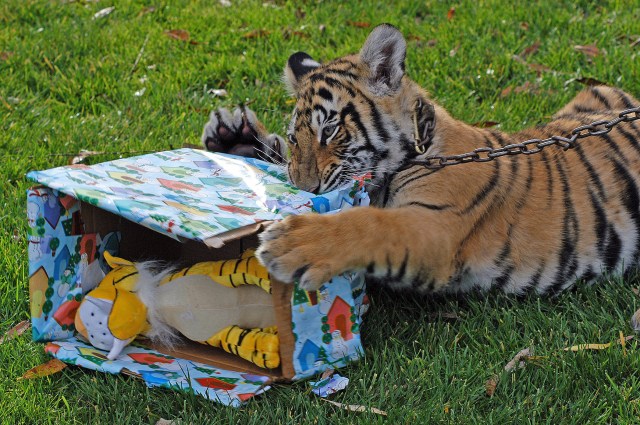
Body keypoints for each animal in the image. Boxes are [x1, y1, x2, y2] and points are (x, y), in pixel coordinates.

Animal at [201, 24, 640, 296]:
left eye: (330, 131)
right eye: (295, 139)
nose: (305, 190)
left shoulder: (438, 226)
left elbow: (370, 224)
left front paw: (292, 242)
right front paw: (235, 137)